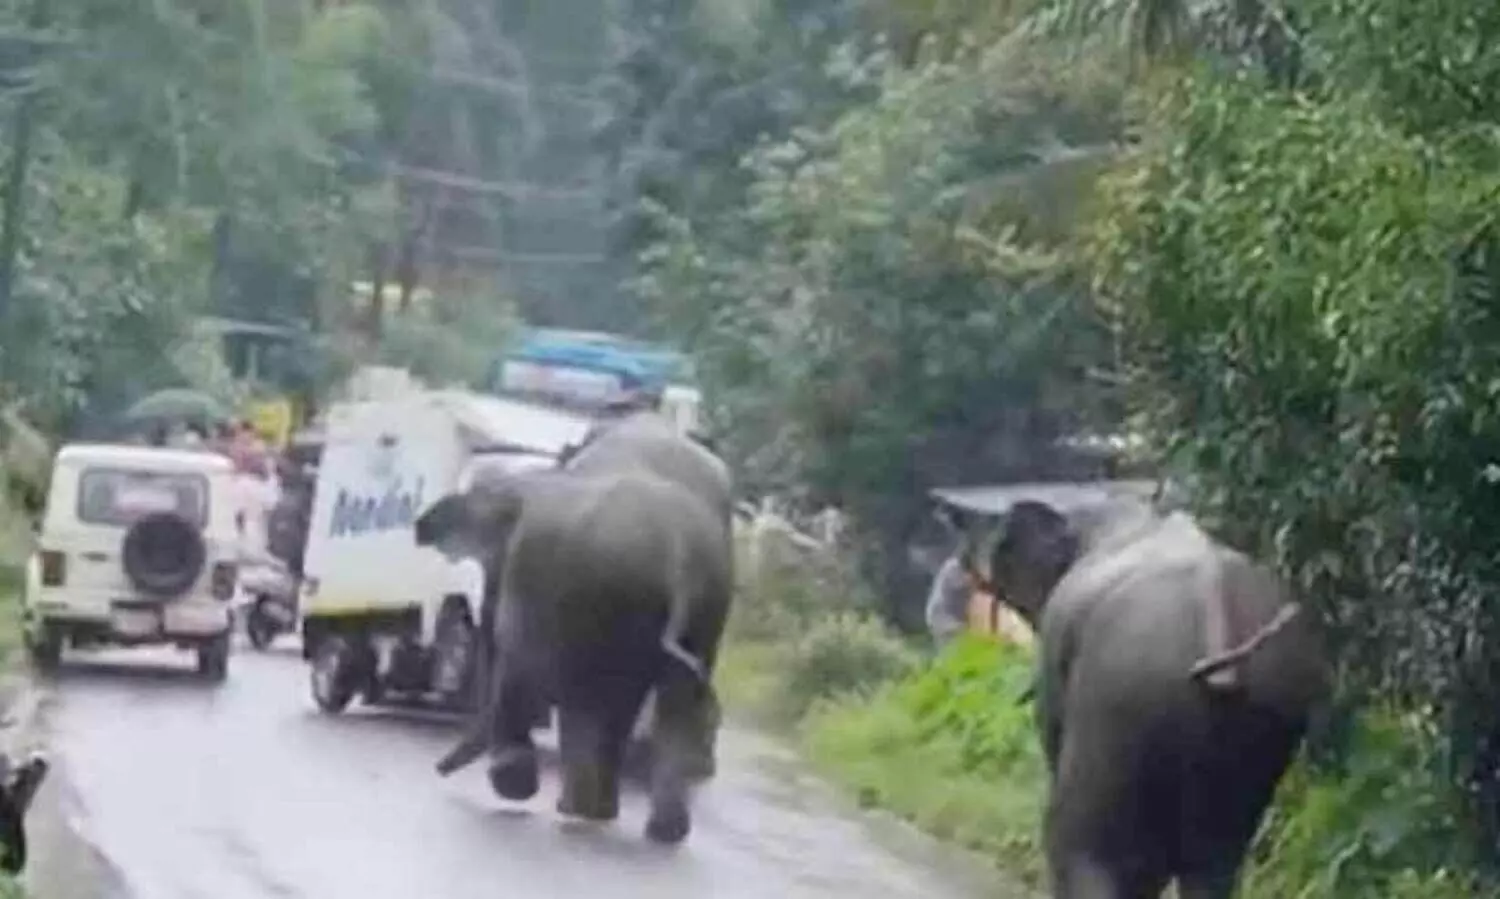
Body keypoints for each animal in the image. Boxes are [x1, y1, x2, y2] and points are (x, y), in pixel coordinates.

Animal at [414, 466, 733, 844]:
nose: (437, 769)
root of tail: (678, 554)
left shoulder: (530, 579)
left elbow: (519, 663)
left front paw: (514, 784)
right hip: (701, 610)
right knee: (669, 700)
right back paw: (657, 831)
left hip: (602, 598)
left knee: (596, 696)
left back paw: (584, 810)